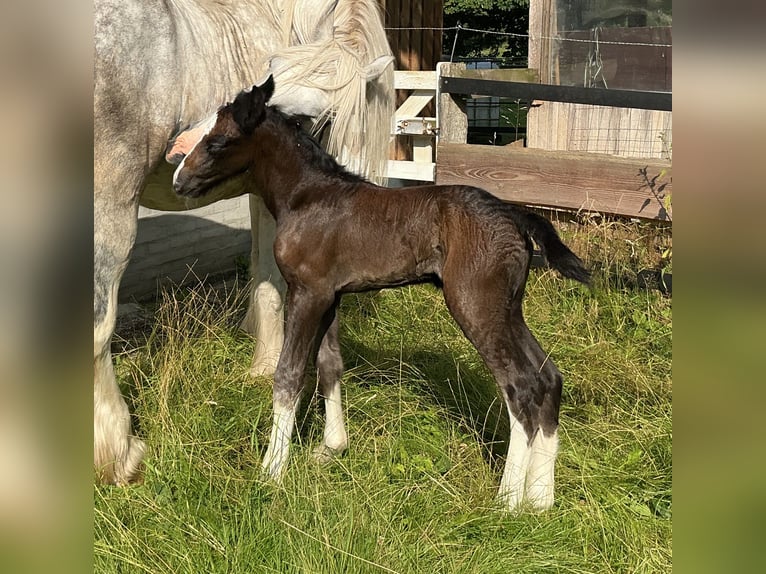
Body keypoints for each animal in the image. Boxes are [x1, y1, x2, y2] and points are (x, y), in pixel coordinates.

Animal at [94, 0, 394, 485]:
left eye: (307, 118)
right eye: (269, 71)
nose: (185, 146)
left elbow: (260, 267)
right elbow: (272, 278)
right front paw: (266, 361)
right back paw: (118, 456)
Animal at [169, 78, 591, 513]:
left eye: (218, 141)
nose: (178, 181)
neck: (306, 197)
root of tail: (515, 214)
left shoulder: (306, 294)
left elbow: (288, 375)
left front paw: (272, 471)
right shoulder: (330, 296)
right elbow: (330, 365)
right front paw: (332, 448)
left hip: (475, 305)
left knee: (520, 385)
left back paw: (507, 500)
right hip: (507, 309)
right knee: (548, 377)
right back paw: (541, 498)